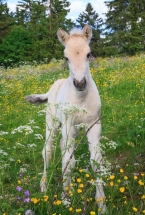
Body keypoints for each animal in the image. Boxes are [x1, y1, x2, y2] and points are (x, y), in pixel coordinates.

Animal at [25, 24, 106, 213]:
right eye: (65, 57)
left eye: (88, 54)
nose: (80, 83)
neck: (81, 98)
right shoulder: (68, 125)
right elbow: (66, 162)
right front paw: (66, 199)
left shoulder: (93, 125)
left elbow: (95, 161)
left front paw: (102, 205)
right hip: (53, 125)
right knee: (48, 150)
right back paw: (44, 186)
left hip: (73, 129)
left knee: (65, 150)